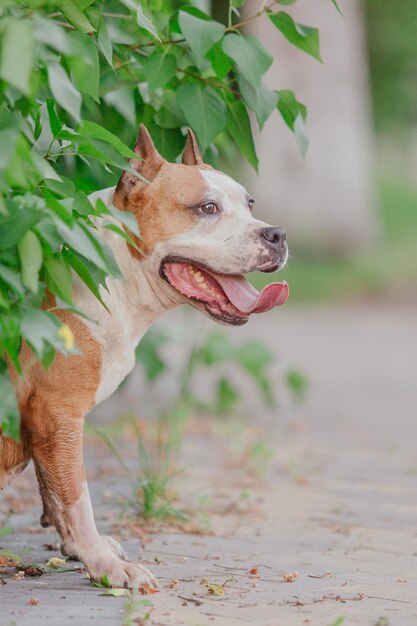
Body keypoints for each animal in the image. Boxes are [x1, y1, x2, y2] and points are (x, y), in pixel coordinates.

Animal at [0, 125, 288, 584]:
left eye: (249, 205)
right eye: (207, 208)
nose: (277, 235)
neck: (116, 275)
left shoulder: (46, 423)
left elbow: (55, 493)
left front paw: (82, 550)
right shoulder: (56, 413)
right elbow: (77, 497)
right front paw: (104, 565)